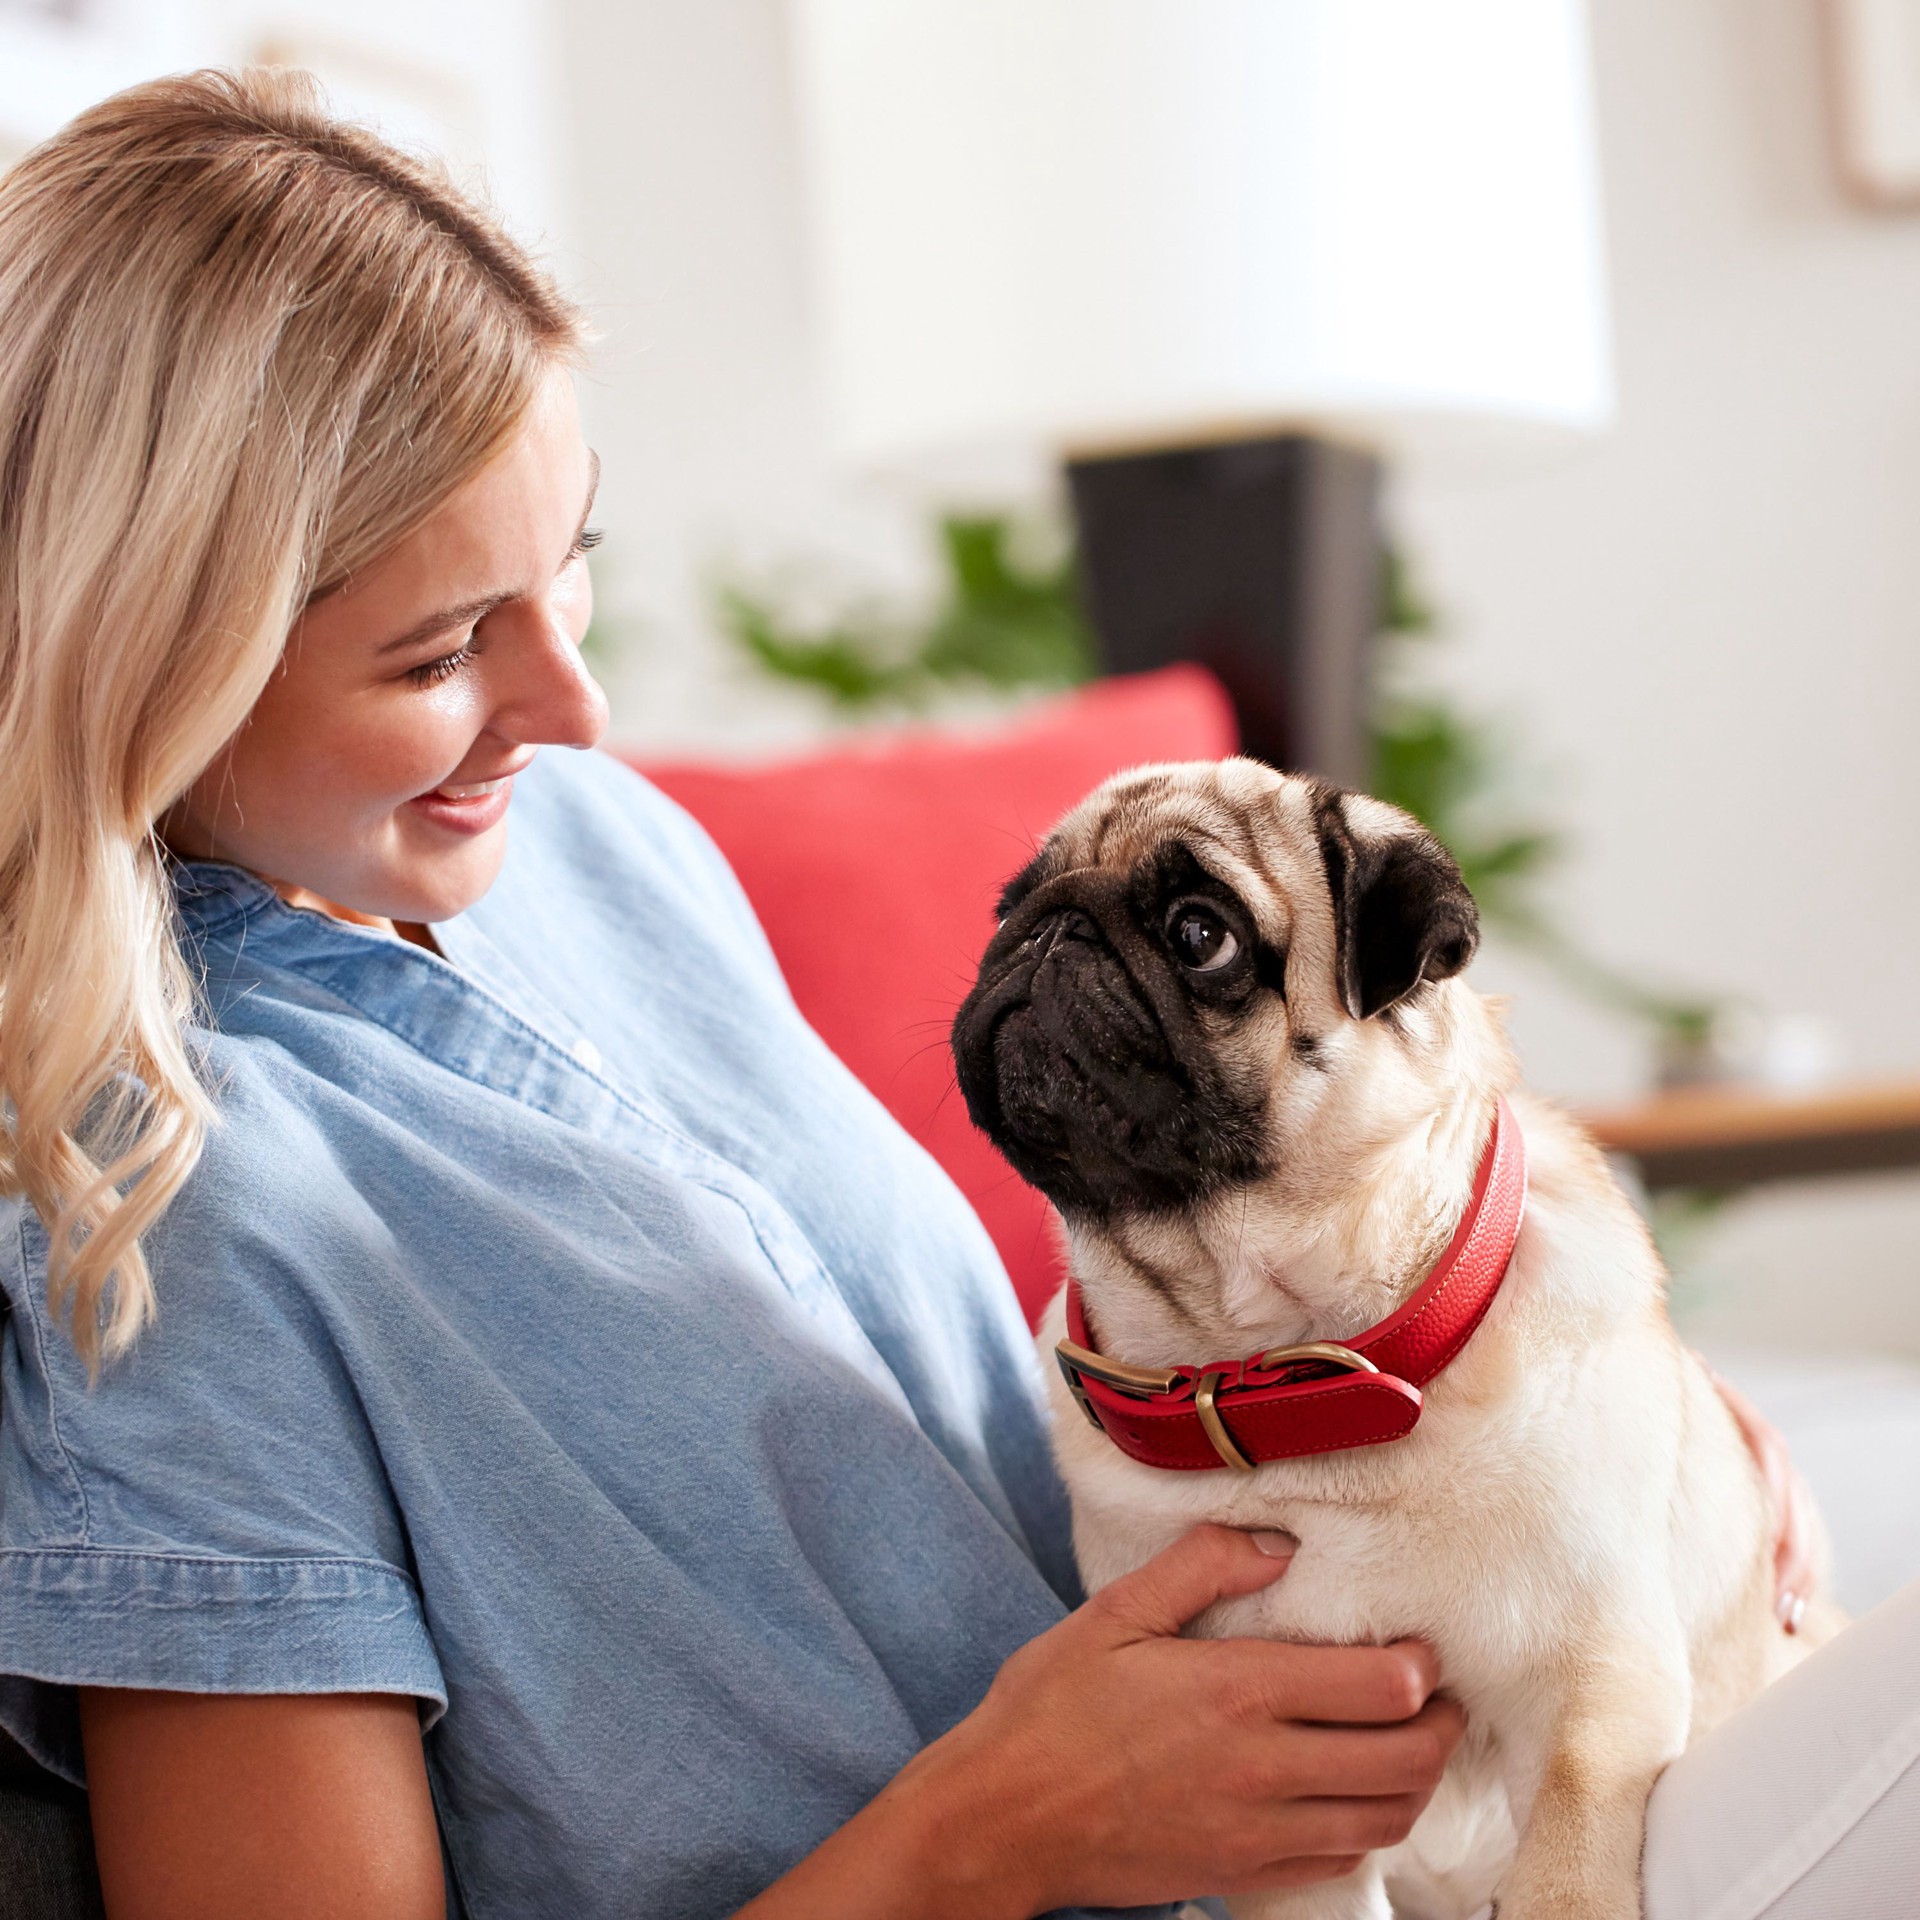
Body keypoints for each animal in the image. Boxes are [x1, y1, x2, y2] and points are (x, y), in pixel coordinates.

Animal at [952, 760, 1835, 1920]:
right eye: (1007, 908)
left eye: (1200, 934)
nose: (1050, 929)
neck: (1294, 1374)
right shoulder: (1293, 1820)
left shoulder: (1596, 1685)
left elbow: (1567, 1854)